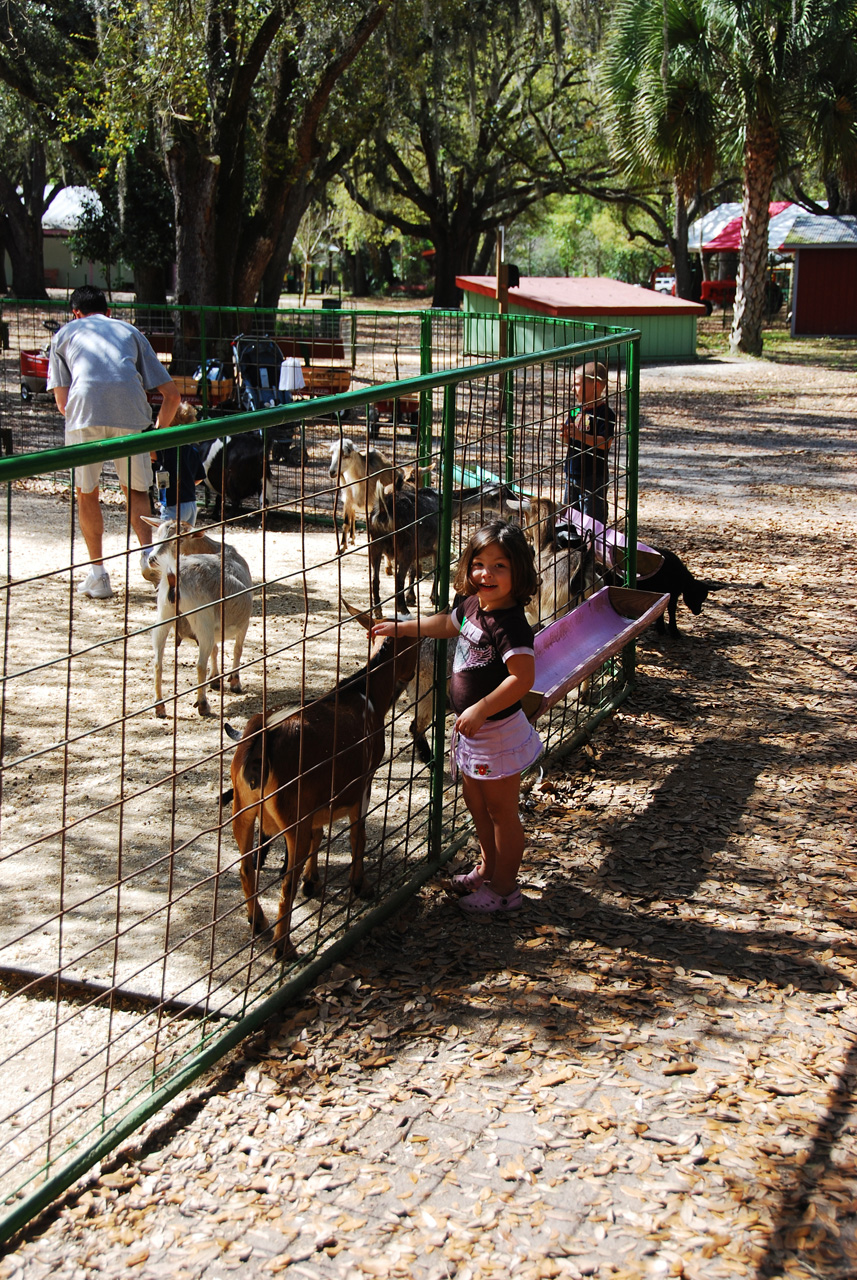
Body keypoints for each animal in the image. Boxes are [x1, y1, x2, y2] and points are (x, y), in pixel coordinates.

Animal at [225, 604, 419, 957]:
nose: (409, 676)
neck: (365, 693)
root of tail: (261, 743)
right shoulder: (364, 781)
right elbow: (358, 835)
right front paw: (361, 885)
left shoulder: (317, 798)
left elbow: (320, 833)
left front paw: (313, 880)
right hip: (291, 819)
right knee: (285, 882)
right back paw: (284, 947)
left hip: (242, 810)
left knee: (246, 867)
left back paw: (257, 922)